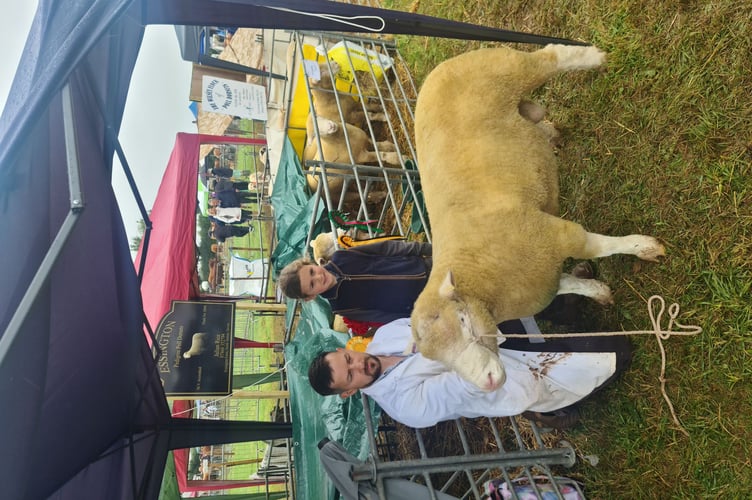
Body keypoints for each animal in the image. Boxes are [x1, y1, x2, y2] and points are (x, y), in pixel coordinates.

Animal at [409, 44, 665, 392]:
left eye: (462, 320)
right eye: (441, 363)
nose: (489, 383)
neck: (482, 278)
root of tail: (438, 70)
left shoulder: (558, 235)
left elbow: (600, 248)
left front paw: (644, 248)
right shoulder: (542, 275)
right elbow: (569, 283)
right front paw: (598, 291)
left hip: (511, 68)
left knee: (551, 56)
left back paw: (592, 58)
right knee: (537, 114)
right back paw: (550, 134)